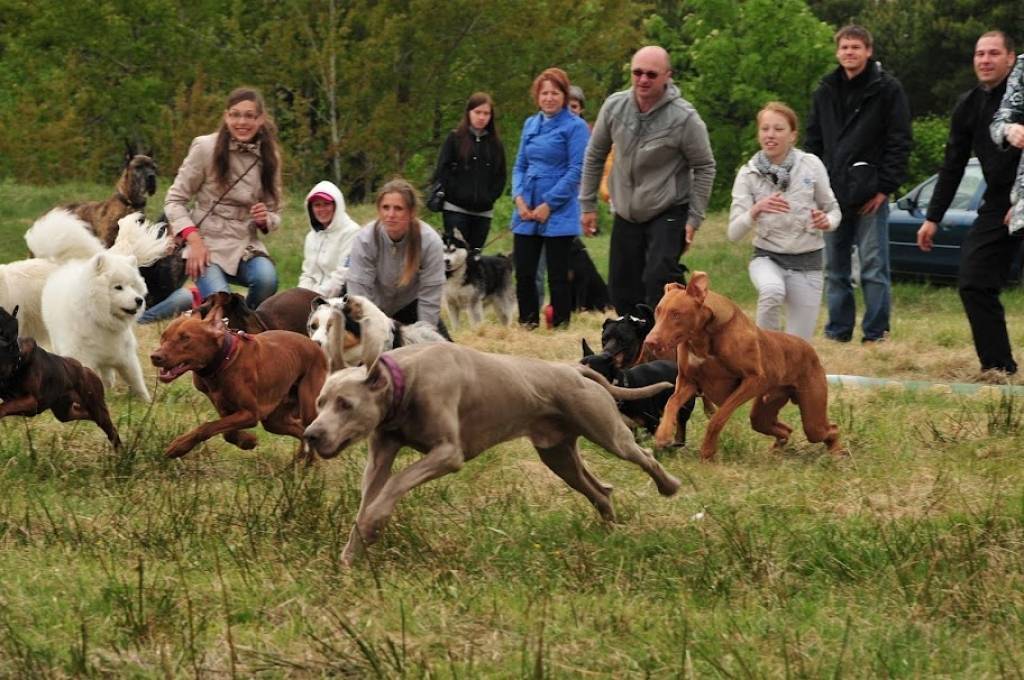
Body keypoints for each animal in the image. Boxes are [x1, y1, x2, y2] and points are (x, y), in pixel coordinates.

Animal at [0, 305, 121, 448]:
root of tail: (87, 369)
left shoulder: (31, 401)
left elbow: (5, 406)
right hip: (64, 411)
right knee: (85, 414)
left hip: (96, 407)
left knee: (110, 429)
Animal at [149, 303, 325, 458]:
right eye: (163, 336)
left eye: (185, 338)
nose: (155, 356)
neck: (224, 360)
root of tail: (316, 346)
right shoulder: (222, 405)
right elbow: (226, 432)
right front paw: (247, 441)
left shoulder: (250, 413)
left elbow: (207, 427)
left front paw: (179, 446)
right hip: (274, 420)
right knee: (301, 431)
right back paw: (300, 466)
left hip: (307, 408)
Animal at [643, 270, 843, 462]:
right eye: (658, 311)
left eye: (676, 314)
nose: (649, 342)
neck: (703, 338)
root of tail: (809, 348)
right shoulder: (688, 381)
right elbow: (671, 402)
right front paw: (663, 434)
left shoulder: (753, 380)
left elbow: (718, 417)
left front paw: (707, 452)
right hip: (762, 414)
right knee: (785, 429)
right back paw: (776, 451)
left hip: (812, 417)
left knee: (830, 429)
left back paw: (837, 453)